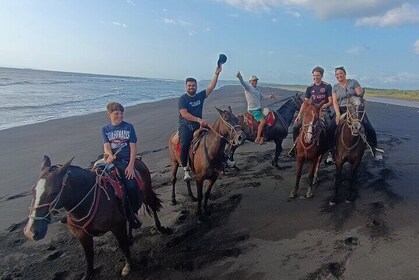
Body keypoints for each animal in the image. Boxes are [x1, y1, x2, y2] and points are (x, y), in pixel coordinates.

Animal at [23, 155, 170, 280]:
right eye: (33, 190)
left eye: (54, 192)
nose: (31, 232)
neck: (86, 203)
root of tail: (138, 160)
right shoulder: (82, 235)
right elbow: (89, 256)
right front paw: (88, 275)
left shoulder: (117, 227)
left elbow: (123, 246)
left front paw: (128, 267)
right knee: (130, 218)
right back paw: (130, 237)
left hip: (147, 194)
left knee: (152, 208)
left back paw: (160, 228)